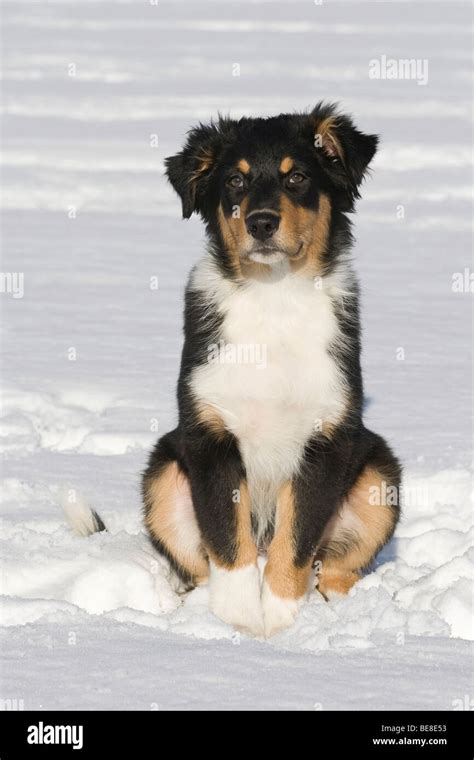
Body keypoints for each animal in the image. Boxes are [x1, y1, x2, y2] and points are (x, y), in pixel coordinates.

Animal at [143, 101, 402, 636]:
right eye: (235, 182)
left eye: (297, 177)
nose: (261, 222)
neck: (274, 294)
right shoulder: (209, 434)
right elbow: (227, 541)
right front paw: (240, 623)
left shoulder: (327, 440)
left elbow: (296, 540)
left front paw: (280, 623)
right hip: (162, 473)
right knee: (196, 566)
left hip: (379, 475)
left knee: (337, 567)